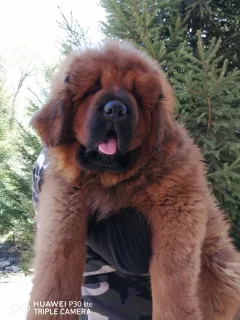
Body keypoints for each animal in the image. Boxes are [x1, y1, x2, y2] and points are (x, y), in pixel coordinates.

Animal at [26, 41, 240, 318]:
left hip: (220, 267)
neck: (113, 180)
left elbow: (172, 278)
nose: (116, 109)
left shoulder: (179, 206)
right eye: (93, 88)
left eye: (136, 95)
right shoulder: (64, 200)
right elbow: (56, 267)